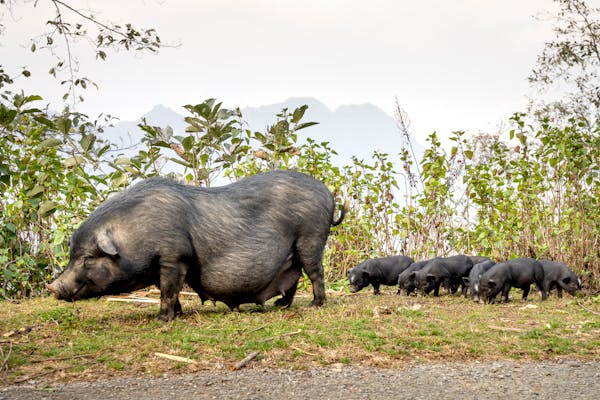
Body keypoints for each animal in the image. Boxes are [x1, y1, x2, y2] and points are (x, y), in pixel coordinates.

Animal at [47, 170, 346, 320]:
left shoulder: (175, 256)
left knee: (315, 273)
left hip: (310, 237)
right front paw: (177, 314)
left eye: (87, 257)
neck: (133, 232)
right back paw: (281, 306)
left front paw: (161, 319)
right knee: (293, 277)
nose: (52, 287)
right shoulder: (161, 265)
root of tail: (327, 194)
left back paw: (315, 305)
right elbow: (168, 291)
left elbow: (168, 290)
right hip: (292, 252)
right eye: (72, 254)